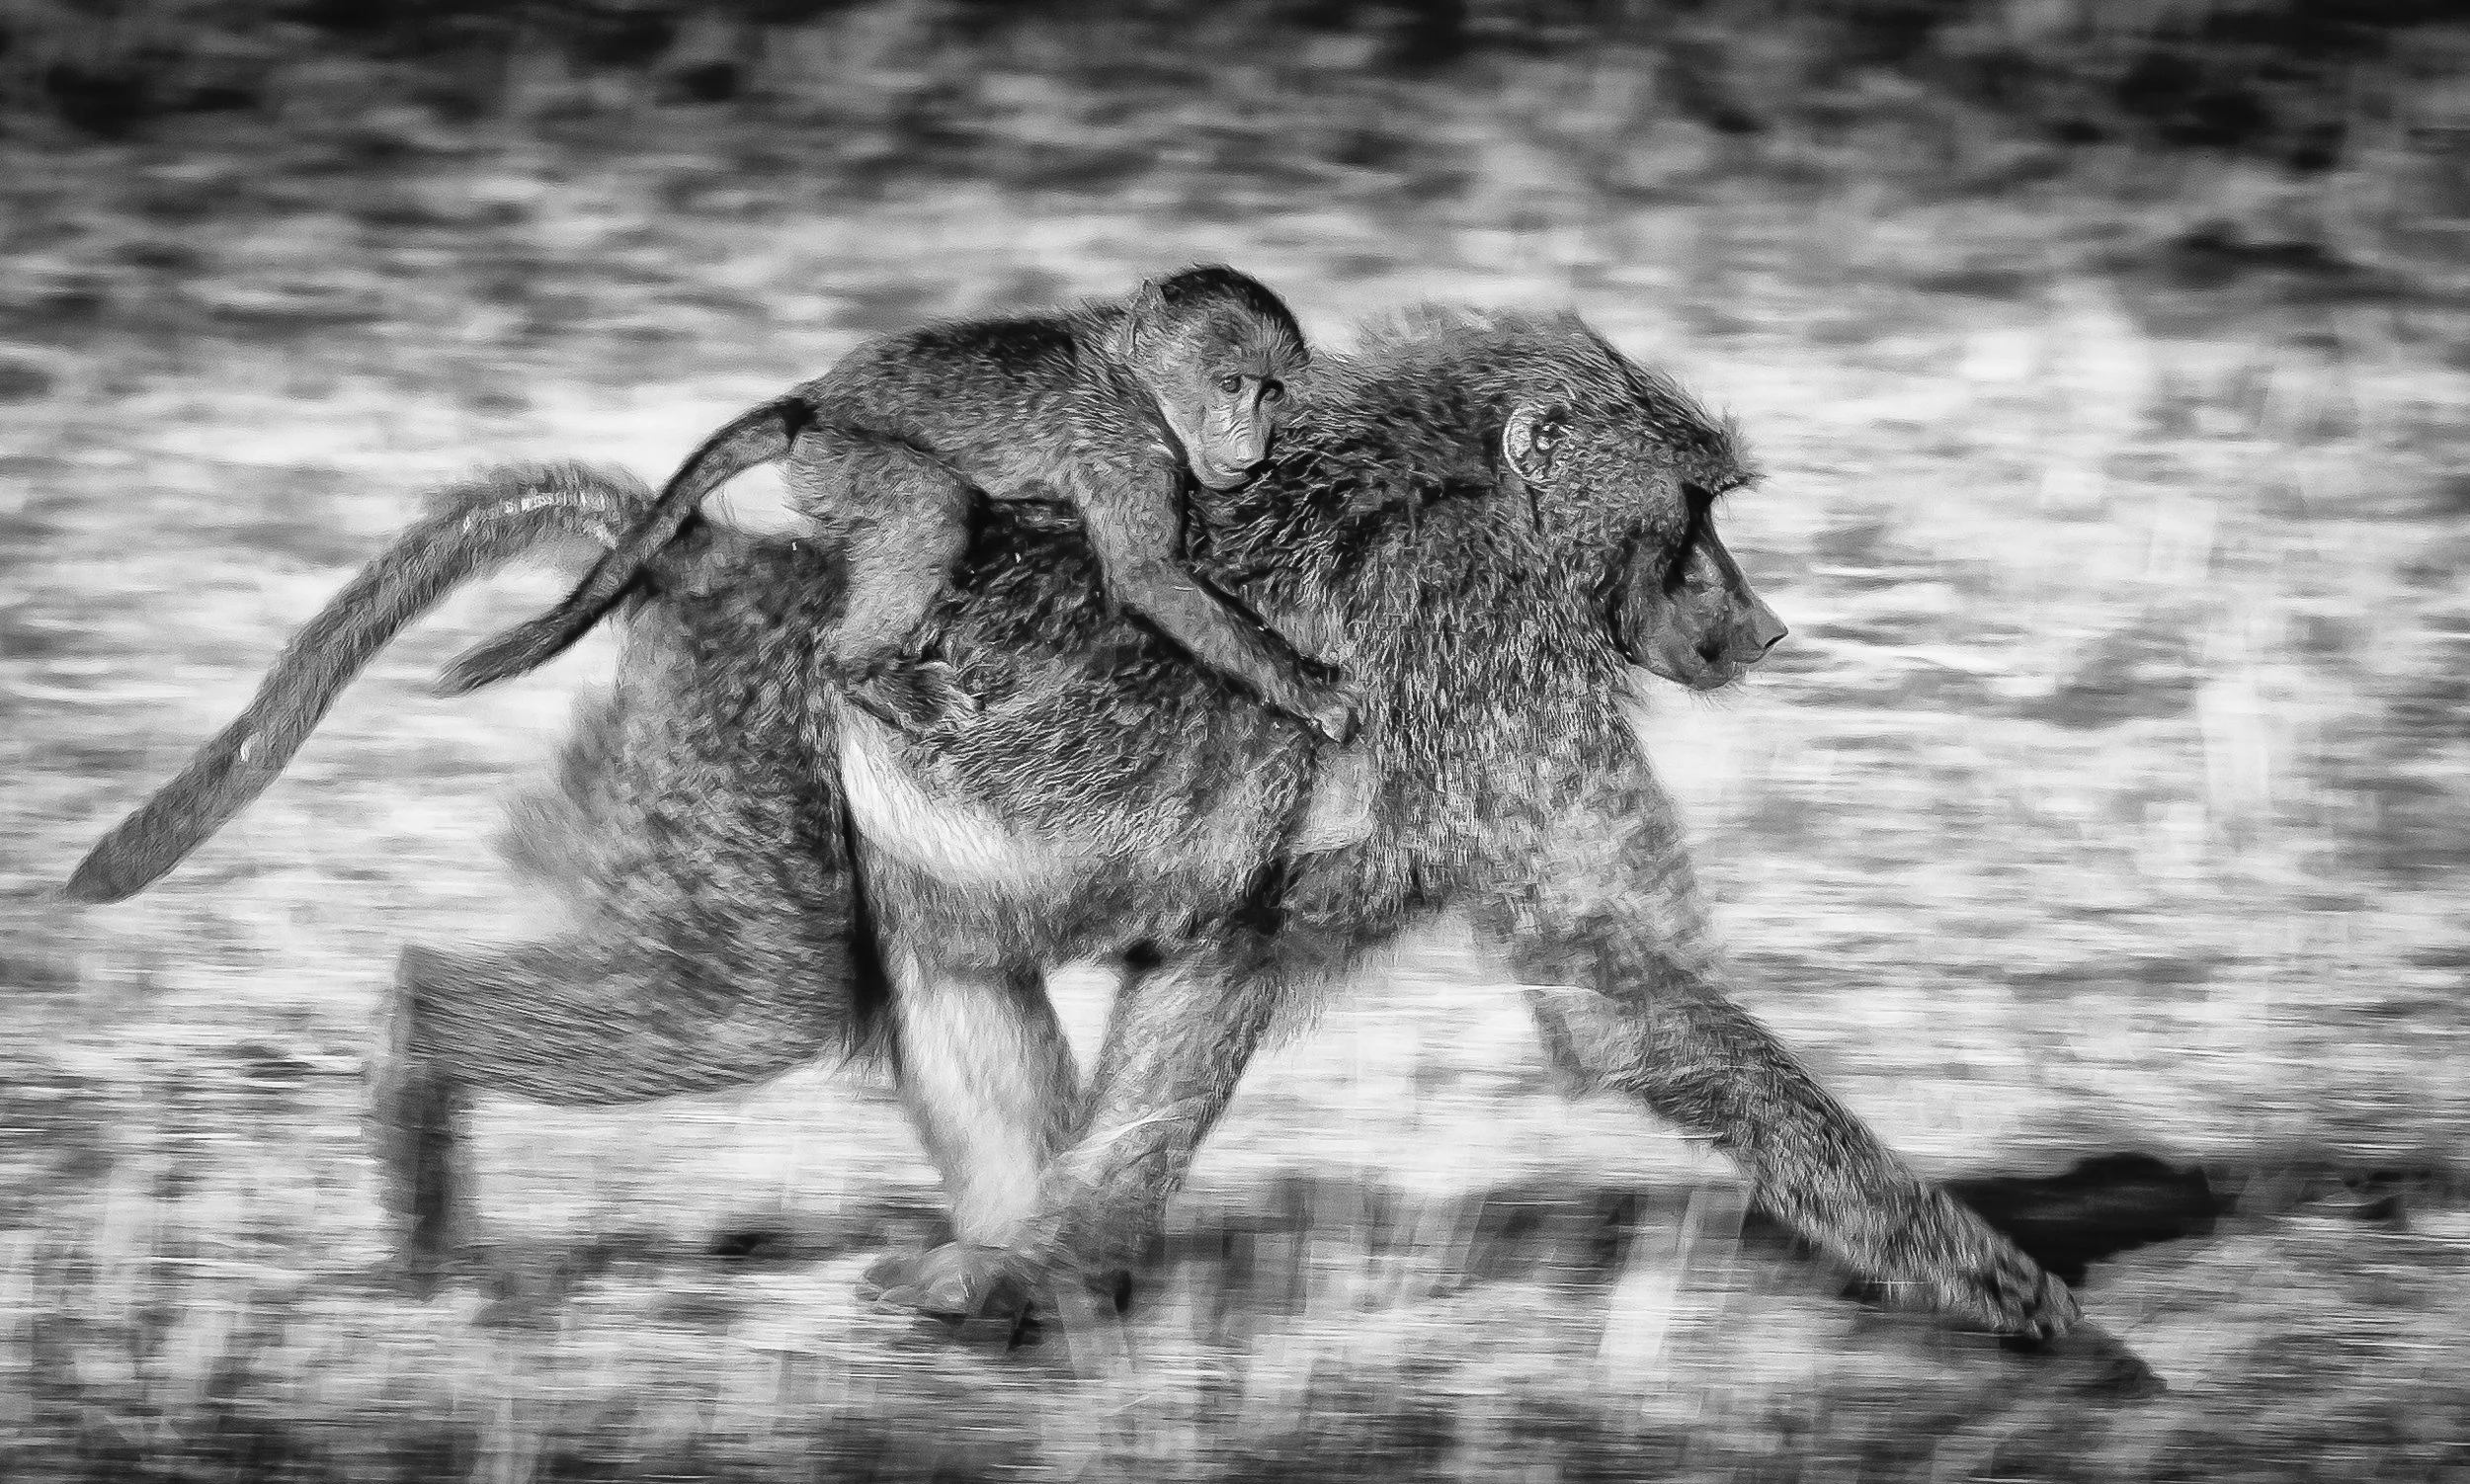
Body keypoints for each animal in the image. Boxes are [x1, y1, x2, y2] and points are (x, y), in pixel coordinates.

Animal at [436, 264, 1358, 745]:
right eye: (1231, 386)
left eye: (1273, 391)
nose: (1253, 438)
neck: (1141, 386)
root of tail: (814, 402)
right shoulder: (1123, 447)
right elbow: (1147, 577)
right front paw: (1309, 692)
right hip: (846, 464)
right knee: (932, 508)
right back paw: (861, 673)